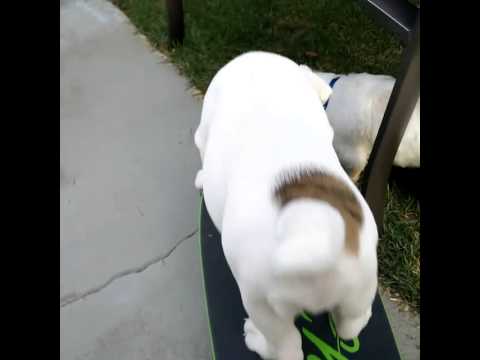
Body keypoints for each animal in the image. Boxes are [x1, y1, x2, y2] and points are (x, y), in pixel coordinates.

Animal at [193, 51, 376, 360]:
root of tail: (315, 232)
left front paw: (201, 178)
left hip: (262, 303)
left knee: (286, 345)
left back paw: (257, 340)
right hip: (360, 286)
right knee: (350, 325)